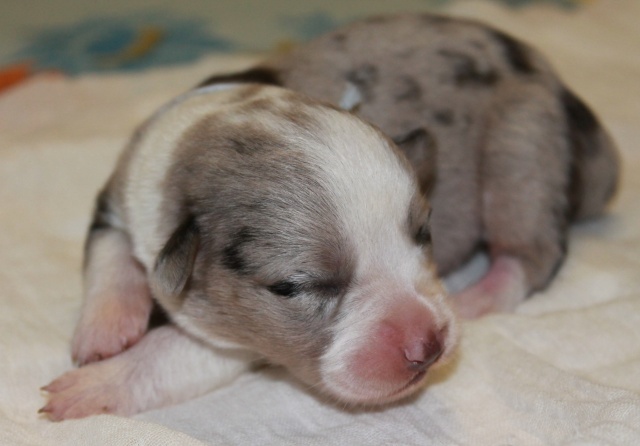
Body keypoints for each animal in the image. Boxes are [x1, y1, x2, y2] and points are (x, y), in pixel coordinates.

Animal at [41, 83, 456, 418]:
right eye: (294, 287)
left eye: (424, 233)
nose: (428, 346)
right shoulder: (122, 193)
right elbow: (108, 251)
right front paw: (103, 330)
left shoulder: (243, 343)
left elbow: (173, 352)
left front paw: (94, 382)